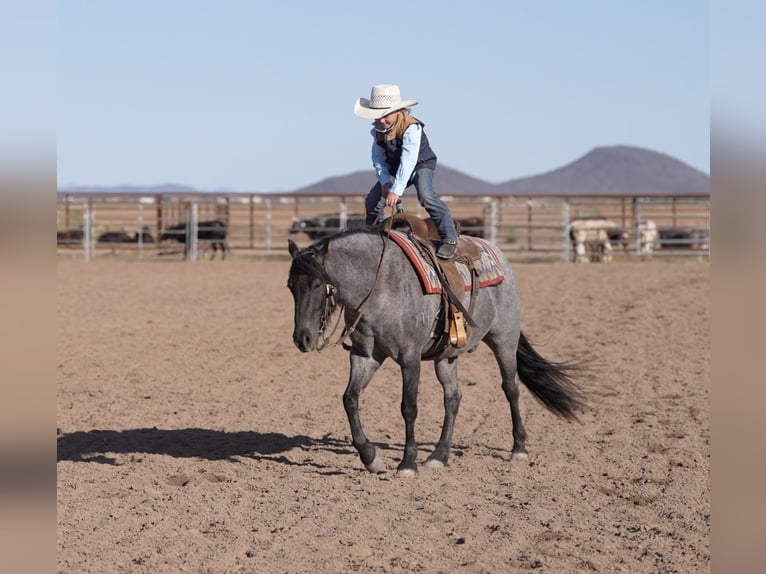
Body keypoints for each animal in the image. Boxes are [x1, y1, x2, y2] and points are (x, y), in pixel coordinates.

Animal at [287, 226, 586, 476]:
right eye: (290, 286)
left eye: (317, 285)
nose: (302, 339)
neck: (380, 284)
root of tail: (499, 255)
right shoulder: (365, 356)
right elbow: (349, 399)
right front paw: (371, 456)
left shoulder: (409, 358)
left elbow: (408, 407)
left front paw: (407, 463)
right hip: (447, 358)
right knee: (453, 398)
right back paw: (439, 455)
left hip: (505, 340)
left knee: (511, 388)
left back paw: (519, 448)